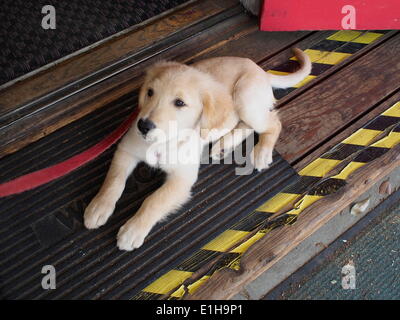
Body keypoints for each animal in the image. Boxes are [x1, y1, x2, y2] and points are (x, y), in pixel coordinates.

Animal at [83, 49, 310, 250]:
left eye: (179, 103)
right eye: (149, 92)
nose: (143, 126)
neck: (165, 142)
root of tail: (260, 70)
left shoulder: (182, 179)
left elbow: (154, 200)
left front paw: (133, 230)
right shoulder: (127, 149)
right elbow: (114, 180)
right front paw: (98, 207)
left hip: (245, 98)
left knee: (273, 123)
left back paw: (261, 152)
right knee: (244, 124)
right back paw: (223, 146)